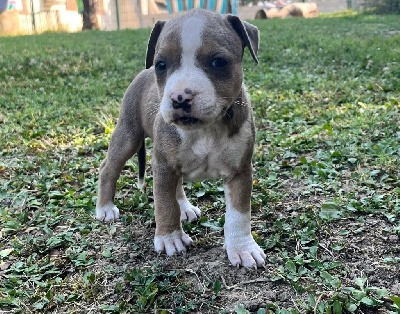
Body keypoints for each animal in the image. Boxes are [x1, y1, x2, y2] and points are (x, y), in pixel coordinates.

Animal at [95, 7, 268, 268]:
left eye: (219, 62)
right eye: (161, 65)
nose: (179, 97)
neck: (206, 129)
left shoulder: (240, 171)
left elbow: (239, 214)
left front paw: (242, 248)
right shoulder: (163, 165)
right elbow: (164, 204)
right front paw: (169, 239)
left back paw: (184, 208)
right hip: (128, 135)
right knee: (108, 168)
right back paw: (105, 208)